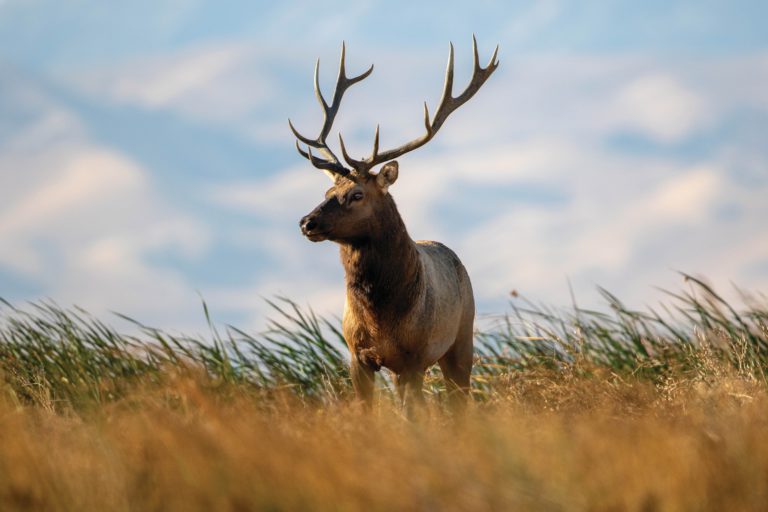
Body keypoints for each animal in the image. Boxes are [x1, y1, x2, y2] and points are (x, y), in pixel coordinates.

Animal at [288, 37, 498, 412]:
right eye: (328, 191)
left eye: (356, 194)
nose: (307, 222)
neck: (380, 320)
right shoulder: (357, 356)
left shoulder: (413, 358)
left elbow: (412, 415)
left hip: (462, 338)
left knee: (460, 402)